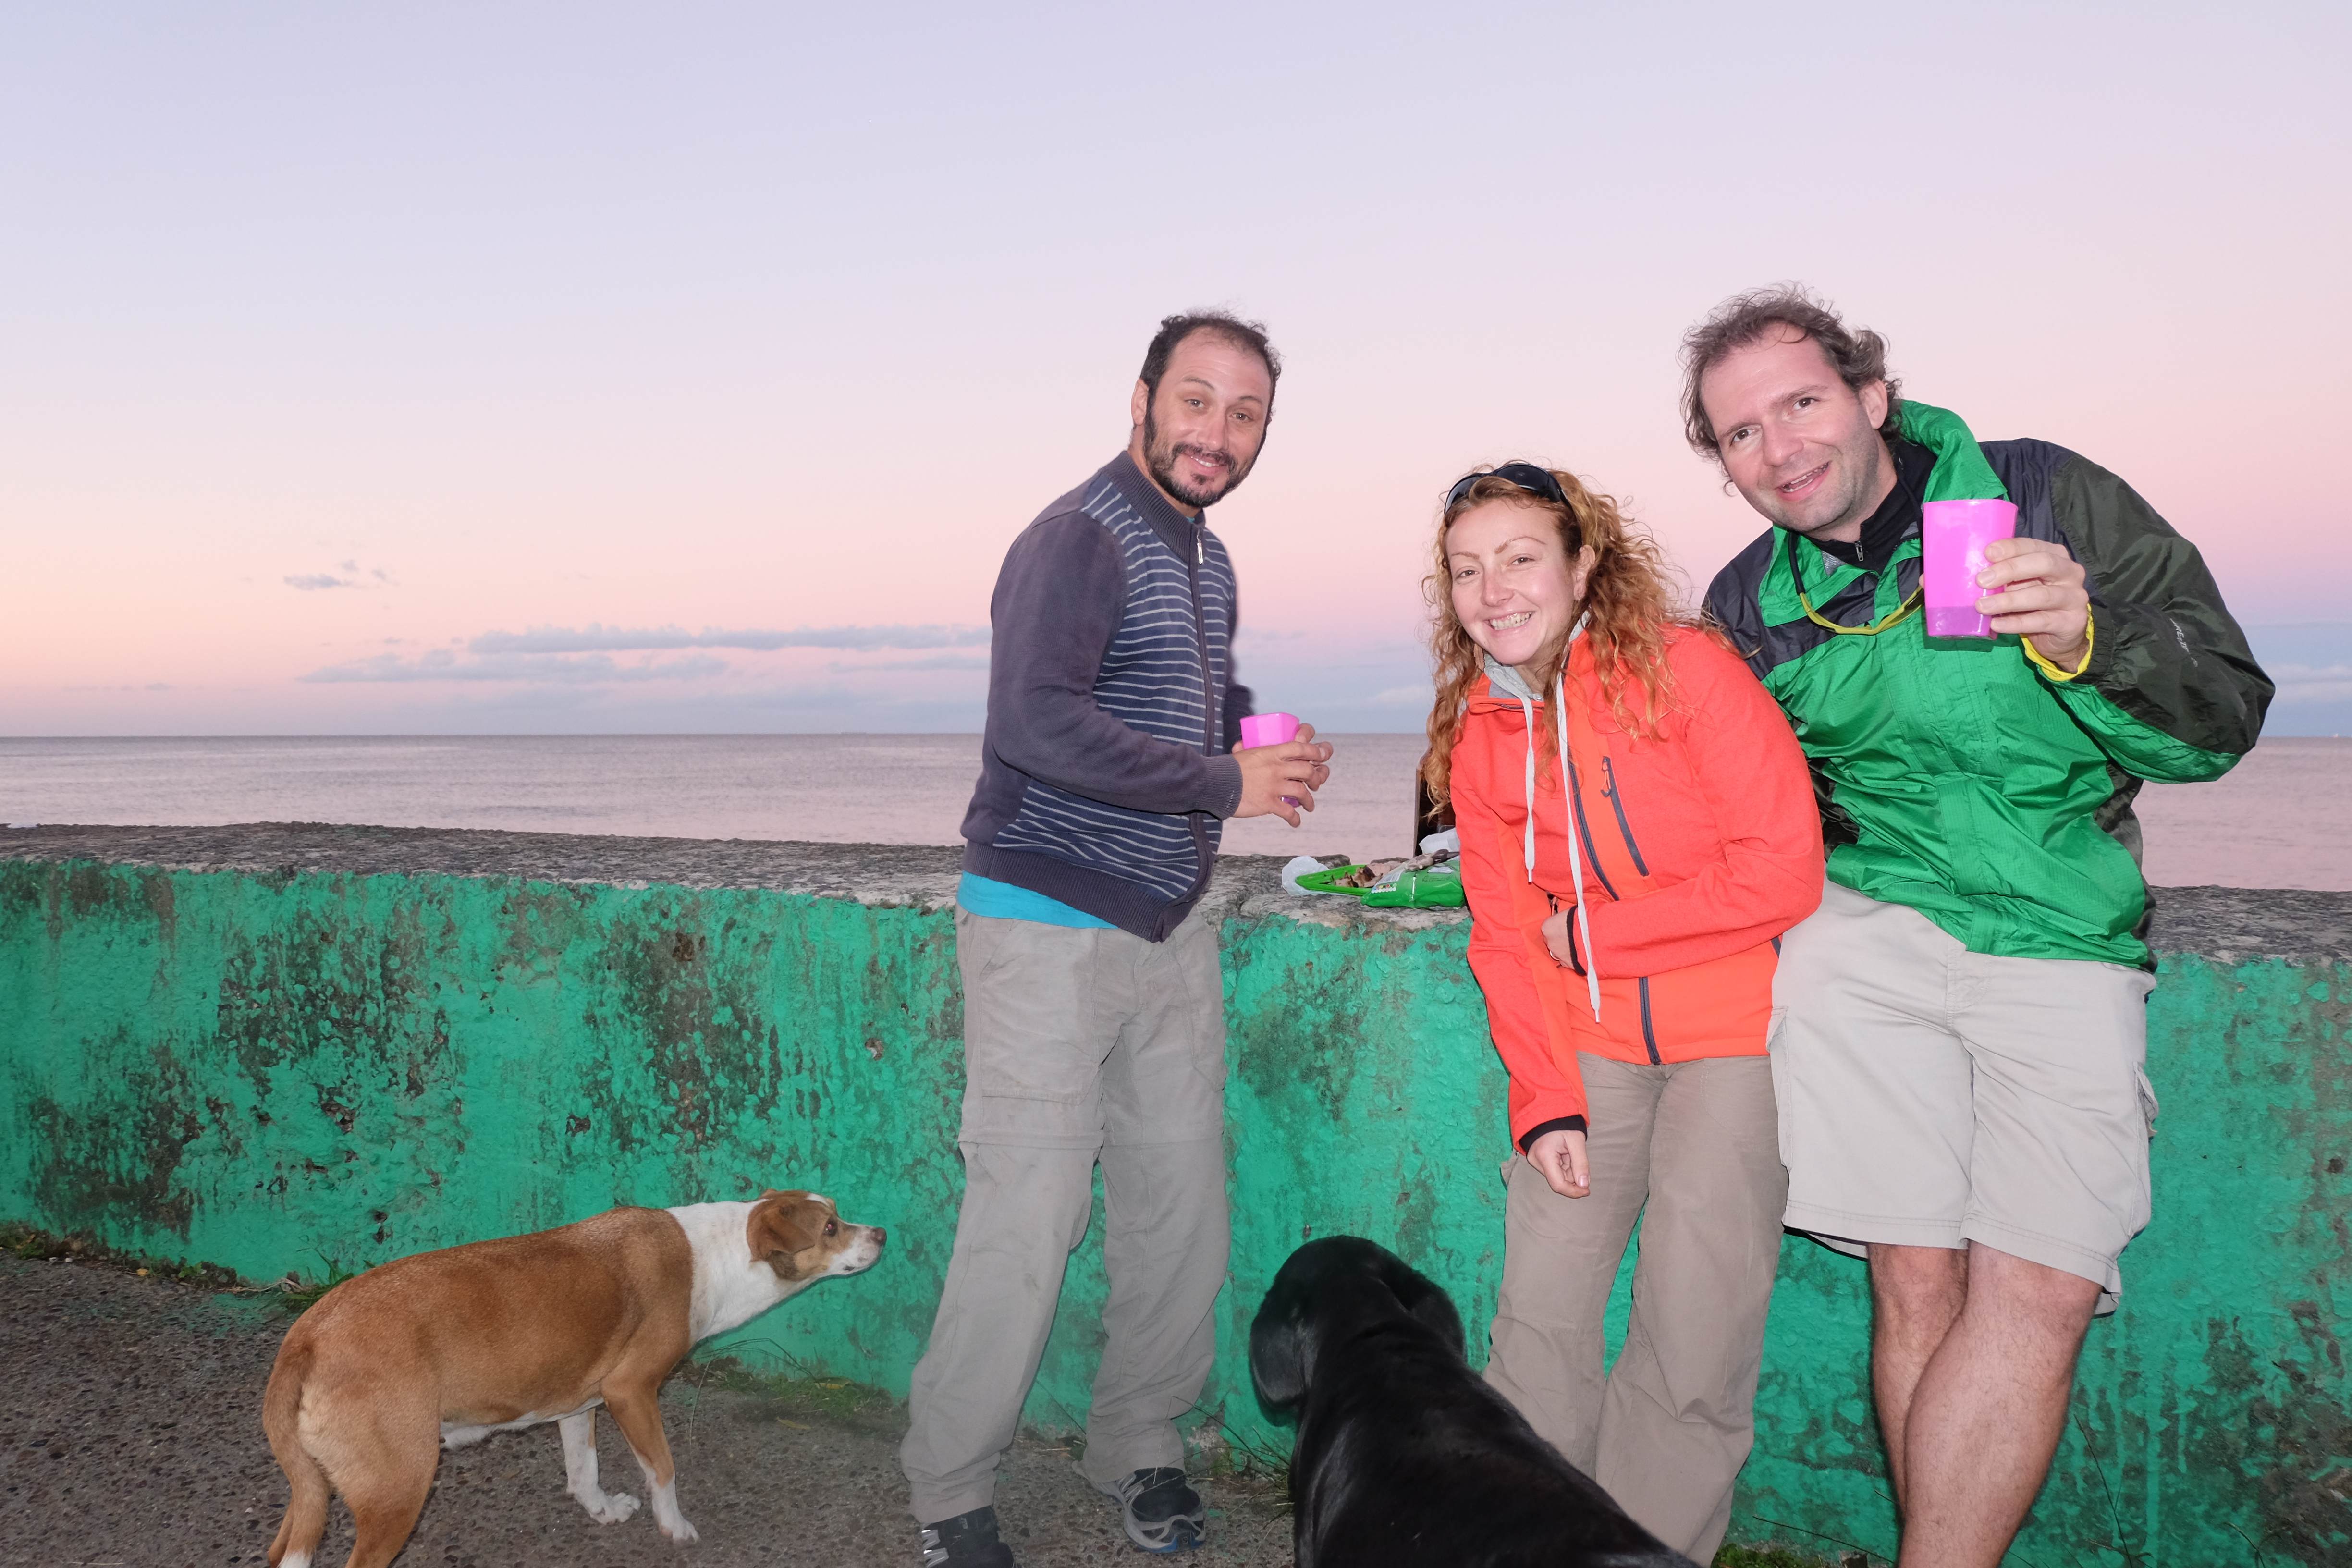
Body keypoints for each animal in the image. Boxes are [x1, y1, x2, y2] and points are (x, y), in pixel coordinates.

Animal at [262, 1189, 884, 1568]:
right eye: (832, 1227)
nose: (880, 1233)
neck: (720, 1256)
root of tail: (307, 1335)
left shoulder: (578, 1405)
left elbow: (584, 1472)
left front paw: (603, 1510)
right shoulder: (631, 1393)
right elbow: (663, 1470)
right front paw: (674, 1526)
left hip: (312, 1493)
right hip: (399, 1491)